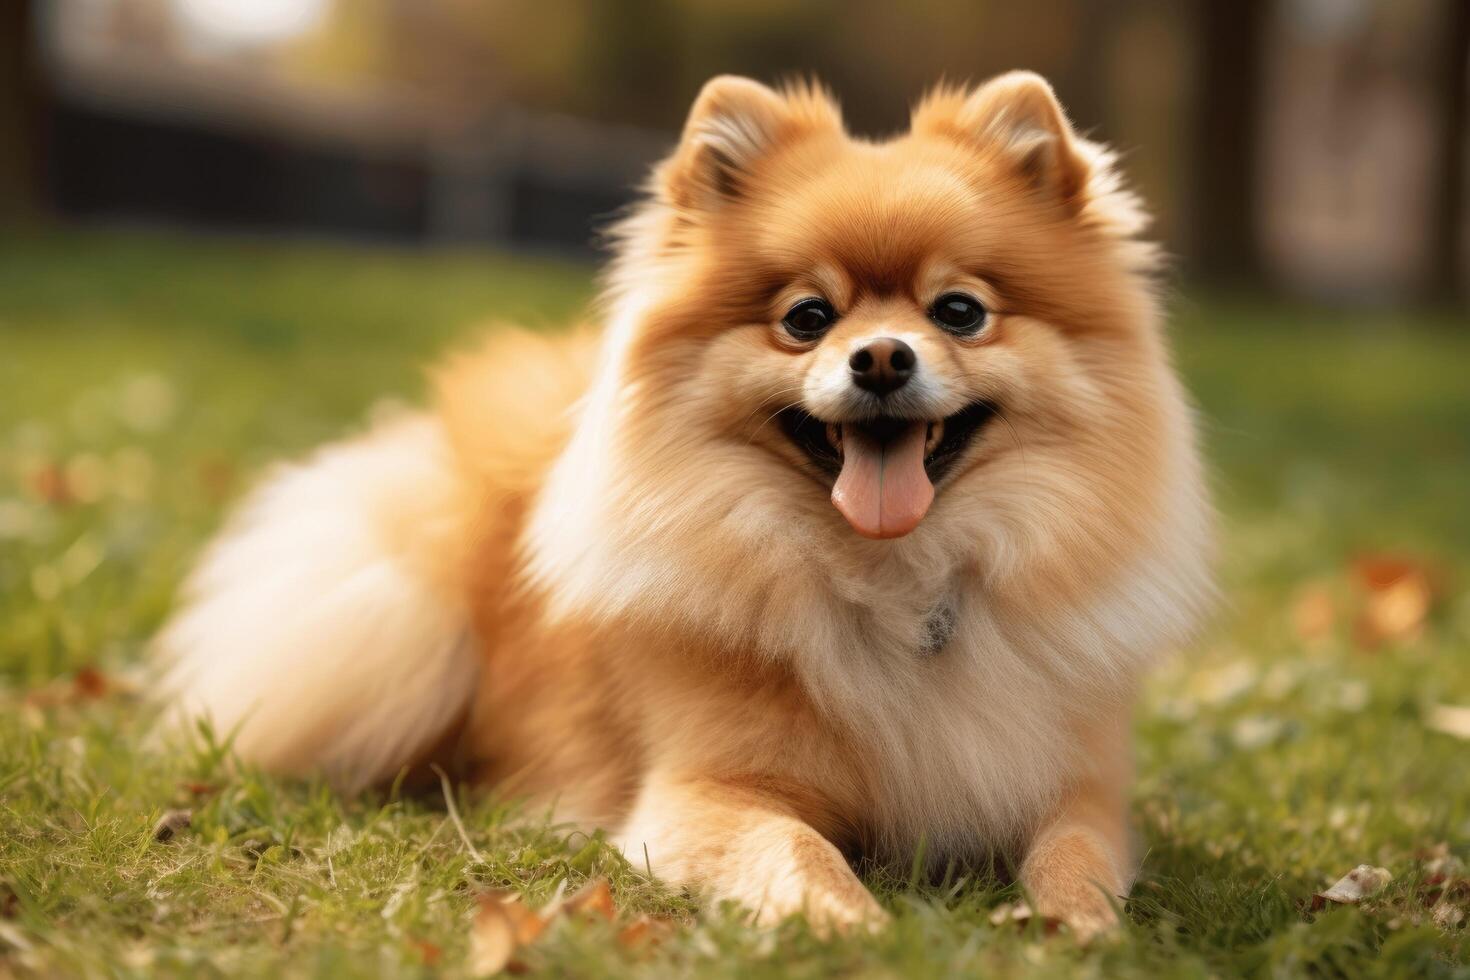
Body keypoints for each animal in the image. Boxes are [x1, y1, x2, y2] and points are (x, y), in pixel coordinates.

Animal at [158, 74, 1217, 934]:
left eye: (959, 312)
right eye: (807, 319)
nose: (880, 357)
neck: (892, 584)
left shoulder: (1078, 786)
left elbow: (1075, 855)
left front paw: (1077, 928)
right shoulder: (703, 794)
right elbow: (799, 849)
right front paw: (858, 929)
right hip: (395, 610)